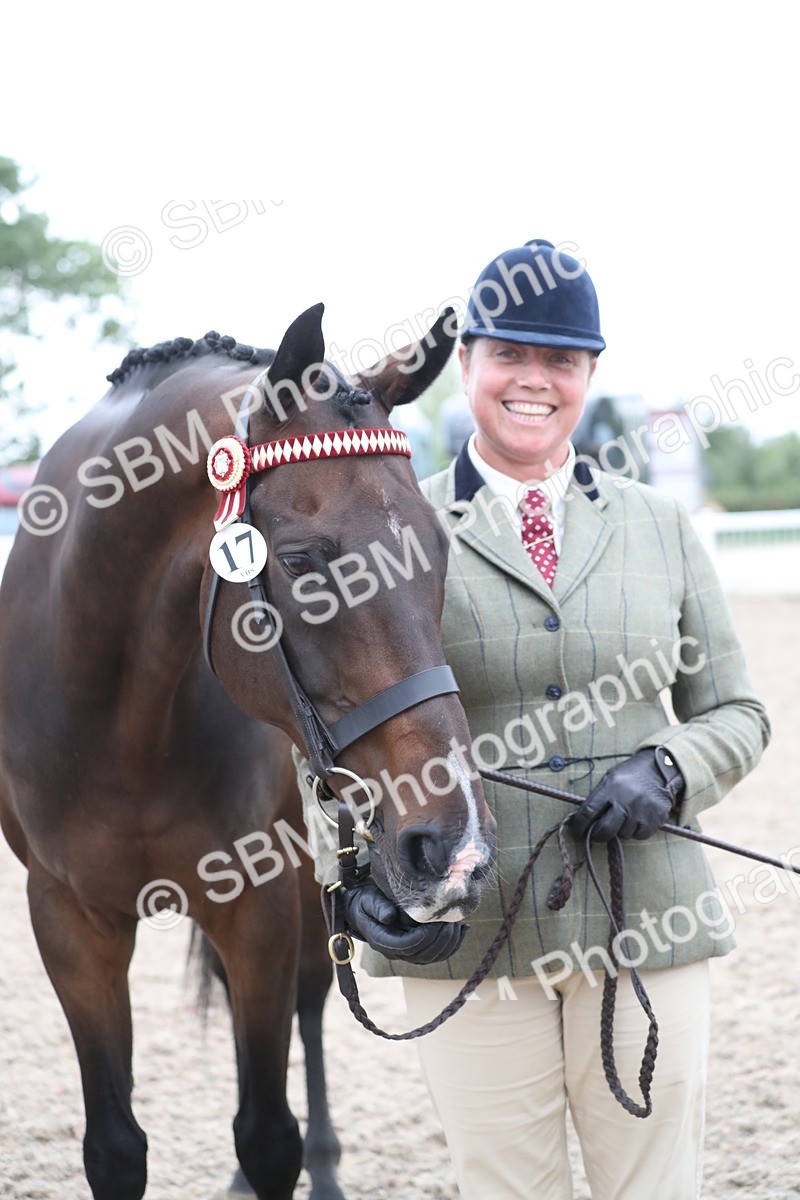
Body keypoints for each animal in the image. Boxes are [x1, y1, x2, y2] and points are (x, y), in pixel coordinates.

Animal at [0, 303, 497, 1200]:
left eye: (438, 553)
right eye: (300, 563)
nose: (456, 845)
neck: (121, 715)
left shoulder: (258, 905)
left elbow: (269, 1133)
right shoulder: (66, 918)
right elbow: (114, 1148)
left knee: (309, 1007)